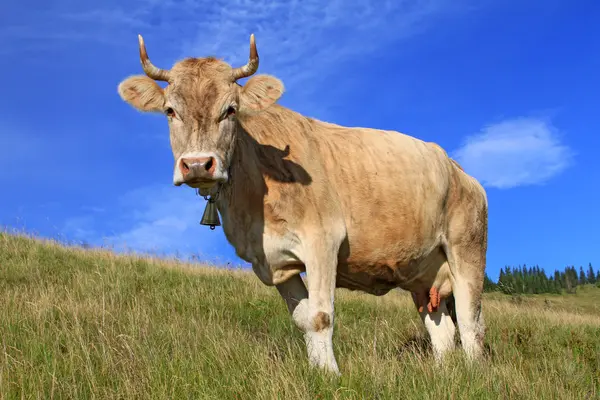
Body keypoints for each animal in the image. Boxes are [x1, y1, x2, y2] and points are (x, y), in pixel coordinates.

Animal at [116, 34, 488, 376]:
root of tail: (459, 169)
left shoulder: (323, 241)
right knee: (443, 332)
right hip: (424, 276)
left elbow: (321, 316)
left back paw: (474, 375)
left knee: (470, 322)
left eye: (230, 110)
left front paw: (332, 377)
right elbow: (303, 318)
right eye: (170, 110)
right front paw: (318, 373)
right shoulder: (275, 260)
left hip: (467, 249)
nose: (197, 164)